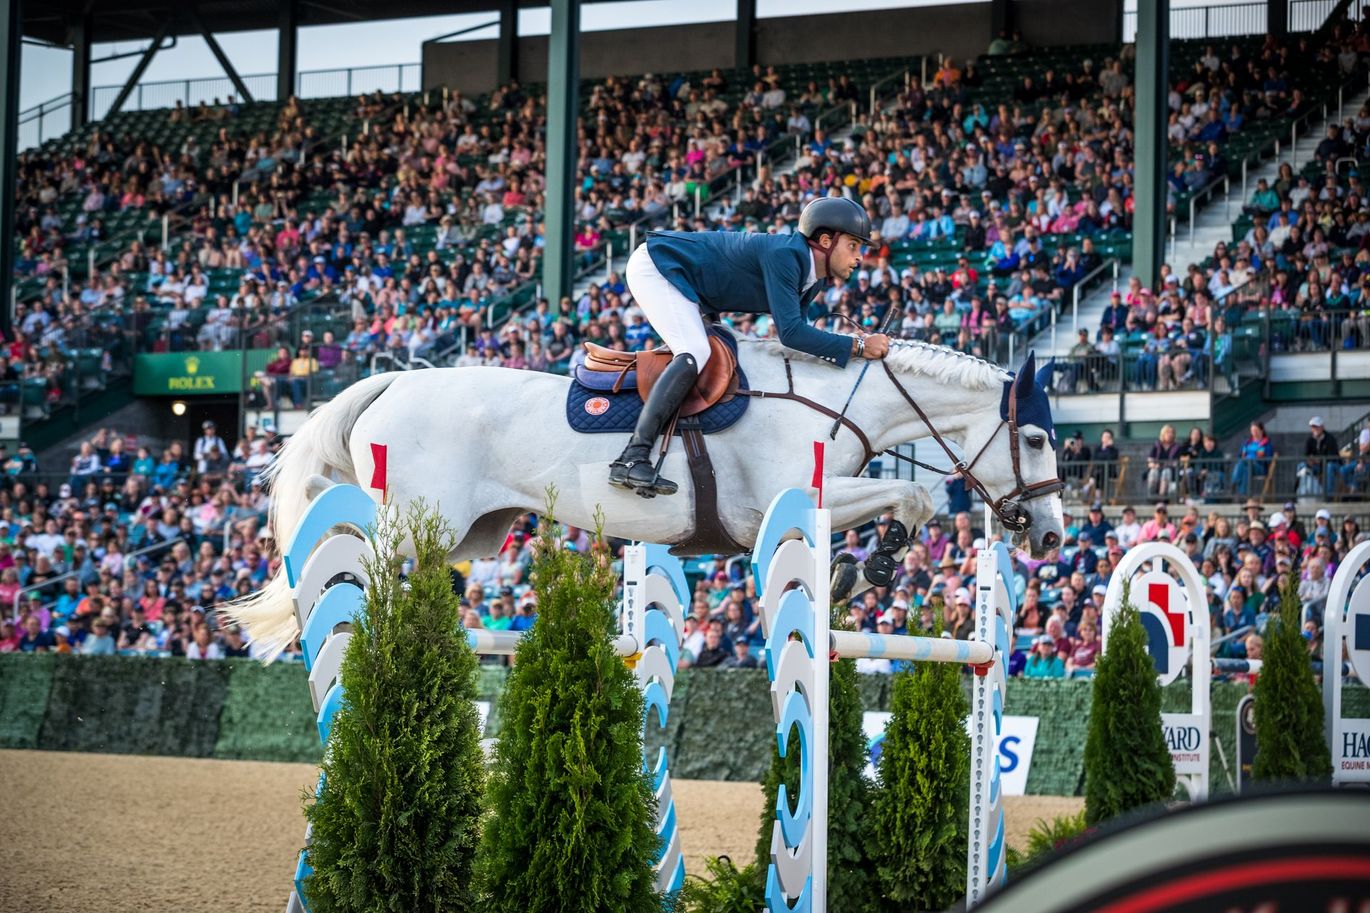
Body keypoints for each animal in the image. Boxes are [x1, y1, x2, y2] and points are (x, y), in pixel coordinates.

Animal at [227, 335, 1057, 655]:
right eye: (1040, 439)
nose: (1049, 534)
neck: (829, 400)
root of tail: (394, 378)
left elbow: (907, 502)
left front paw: (861, 569)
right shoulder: (775, 505)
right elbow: (911, 499)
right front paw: (872, 565)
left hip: (464, 536)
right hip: (409, 524)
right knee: (339, 564)